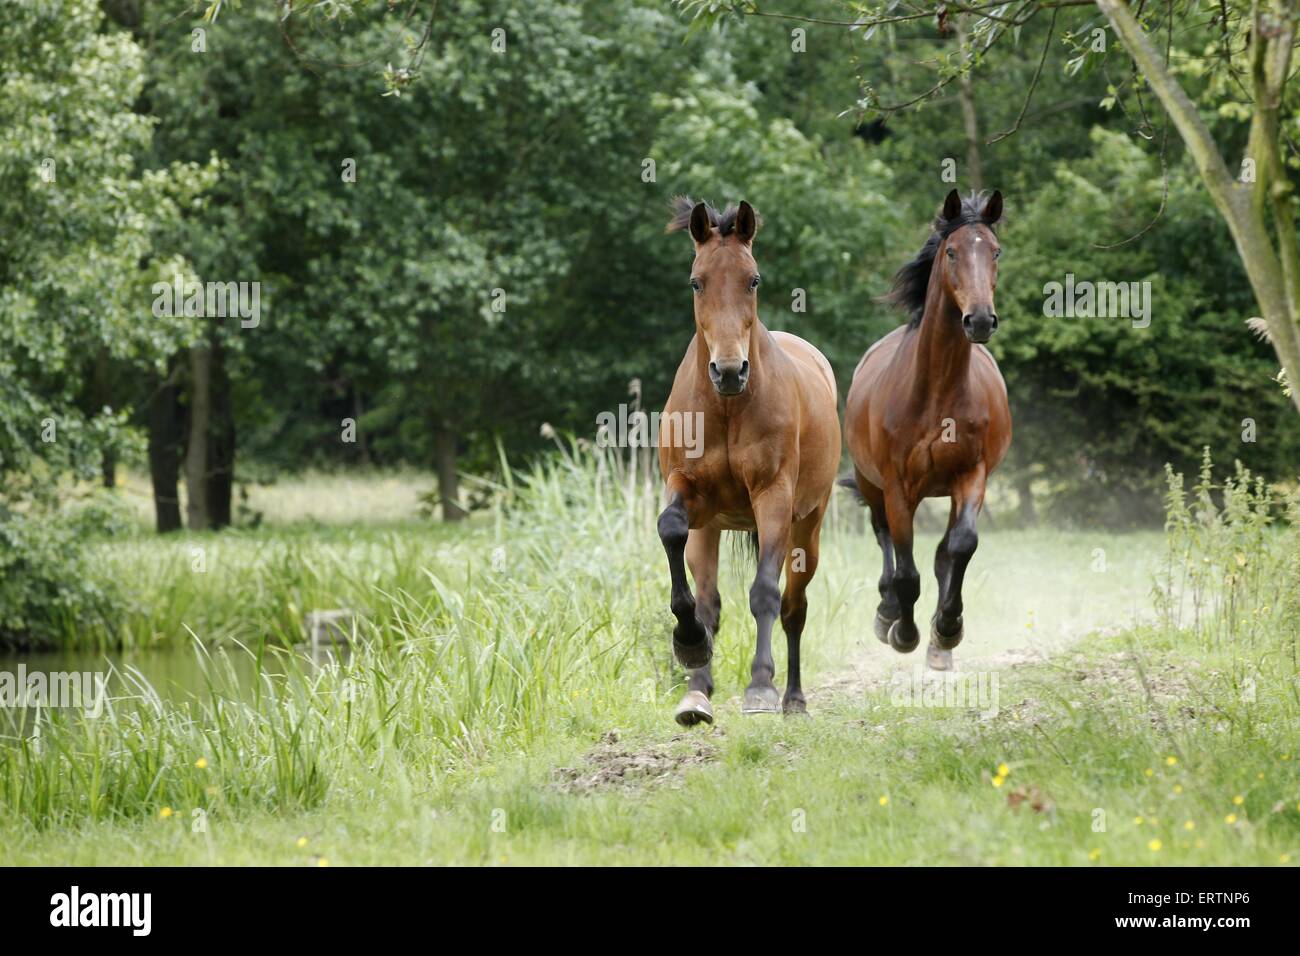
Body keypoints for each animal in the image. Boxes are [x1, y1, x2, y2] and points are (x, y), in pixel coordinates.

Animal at [660, 200, 842, 723]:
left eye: (753, 280)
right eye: (696, 281)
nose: (728, 371)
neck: (726, 408)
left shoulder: (773, 497)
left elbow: (764, 593)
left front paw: (760, 686)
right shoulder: (689, 495)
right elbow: (673, 537)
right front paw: (691, 652)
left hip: (808, 527)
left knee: (793, 607)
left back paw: (793, 699)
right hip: (712, 528)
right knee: (710, 599)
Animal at [842, 191, 1013, 671]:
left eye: (995, 252)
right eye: (952, 251)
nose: (979, 320)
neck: (938, 391)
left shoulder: (972, 476)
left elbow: (959, 547)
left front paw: (947, 630)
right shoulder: (899, 487)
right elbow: (906, 571)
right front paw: (903, 632)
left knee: (943, 552)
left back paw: (939, 641)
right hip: (872, 484)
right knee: (883, 537)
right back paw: (887, 614)